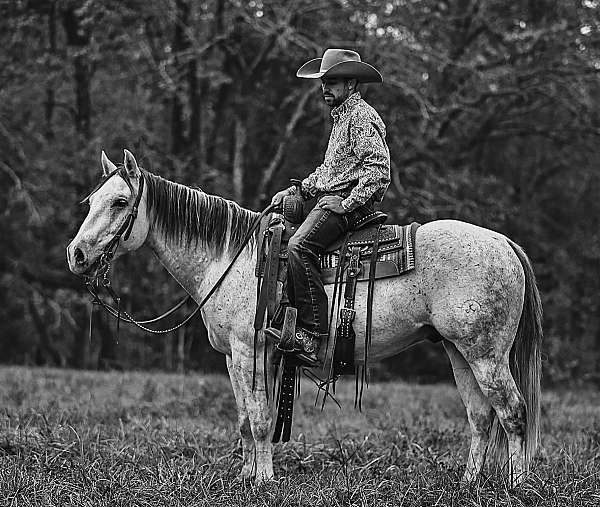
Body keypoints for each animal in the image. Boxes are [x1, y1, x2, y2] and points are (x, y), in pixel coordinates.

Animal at [67, 149, 544, 486]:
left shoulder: (252, 350)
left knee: (513, 412)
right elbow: (244, 419)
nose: (77, 255)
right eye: (90, 201)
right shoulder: (236, 357)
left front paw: (264, 480)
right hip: (457, 350)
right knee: (481, 417)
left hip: (486, 355)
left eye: (120, 201)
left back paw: (516, 485)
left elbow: (261, 419)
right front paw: (246, 475)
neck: (233, 258)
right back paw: (469, 482)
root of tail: (503, 243)